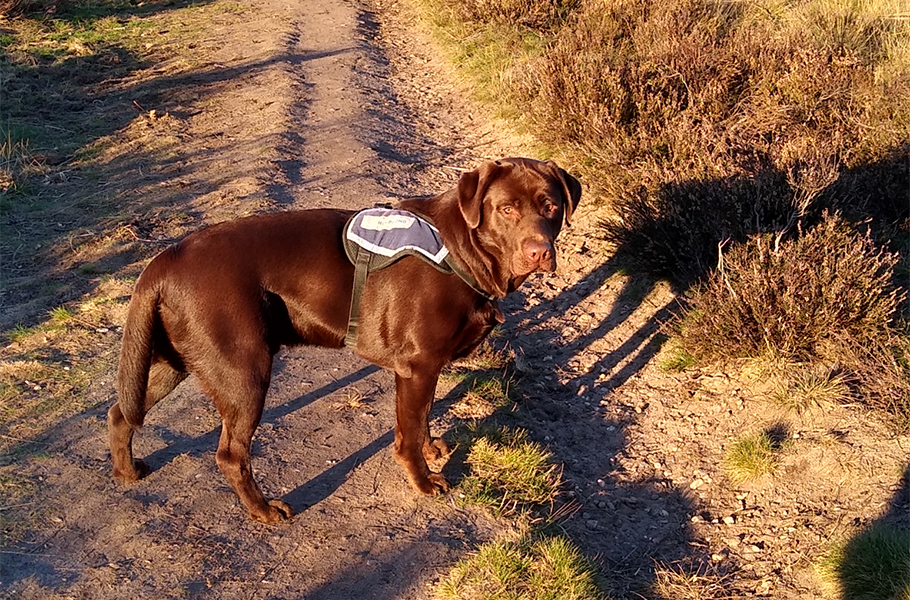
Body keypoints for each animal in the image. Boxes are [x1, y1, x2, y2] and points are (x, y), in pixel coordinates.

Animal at [110, 157, 584, 524]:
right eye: (506, 209)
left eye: (551, 205)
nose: (539, 252)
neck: (460, 249)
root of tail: (164, 260)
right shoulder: (418, 365)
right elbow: (409, 433)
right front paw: (422, 480)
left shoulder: (425, 369)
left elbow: (424, 417)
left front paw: (432, 448)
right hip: (243, 372)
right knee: (230, 455)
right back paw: (264, 511)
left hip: (176, 361)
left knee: (120, 412)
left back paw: (127, 472)